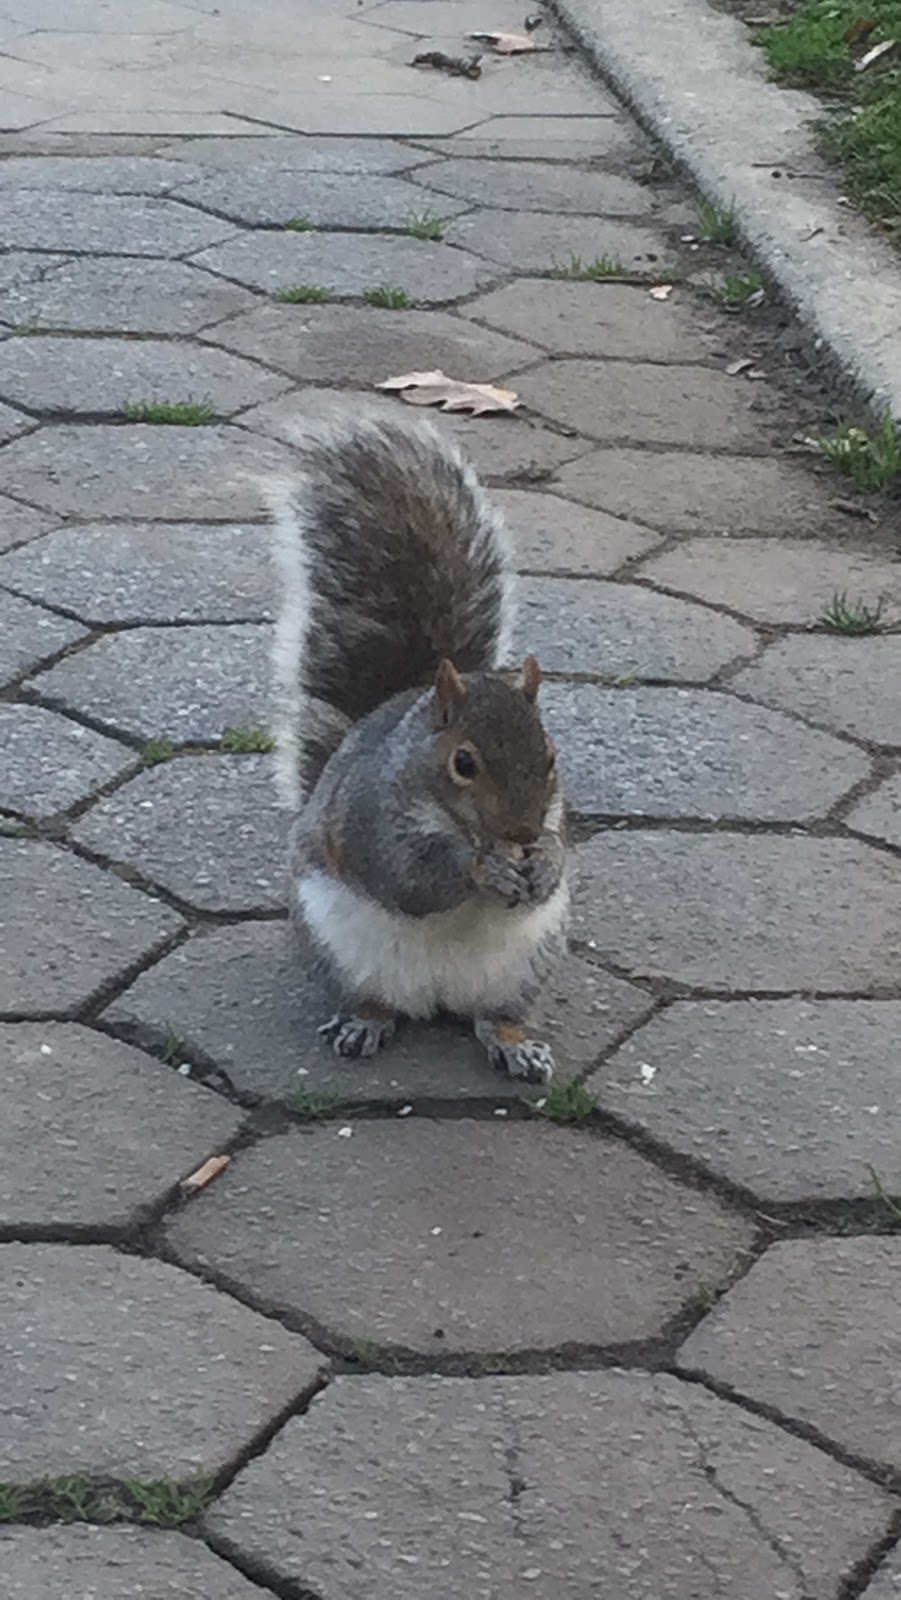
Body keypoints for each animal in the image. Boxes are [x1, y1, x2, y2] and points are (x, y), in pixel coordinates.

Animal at [264, 406, 566, 1081]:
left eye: (552, 755)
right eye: (464, 762)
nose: (523, 834)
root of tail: (436, 996)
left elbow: (563, 858)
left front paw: (544, 866)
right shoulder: (372, 819)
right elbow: (409, 877)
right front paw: (484, 870)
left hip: (524, 967)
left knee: (495, 1016)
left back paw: (516, 1043)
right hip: (338, 944)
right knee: (374, 1000)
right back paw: (364, 1023)